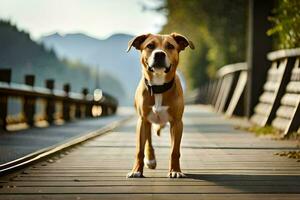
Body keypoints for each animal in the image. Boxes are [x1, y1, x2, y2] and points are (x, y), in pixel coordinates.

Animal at [125, 32, 193, 178]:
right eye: (150, 45)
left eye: (170, 46)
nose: (160, 54)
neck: (158, 87)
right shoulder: (142, 120)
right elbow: (139, 150)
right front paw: (136, 170)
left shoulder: (177, 123)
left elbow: (174, 151)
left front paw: (175, 171)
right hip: (145, 122)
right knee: (148, 140)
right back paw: (150, 159)